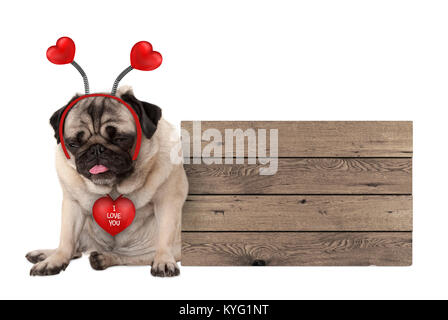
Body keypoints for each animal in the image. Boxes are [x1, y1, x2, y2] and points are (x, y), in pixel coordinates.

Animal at [26, 86, 187, 276]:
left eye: (120, 139)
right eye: (73, 143)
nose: (96, 149)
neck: (113, 187)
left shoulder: (167, 202)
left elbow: (164, 238)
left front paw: (163, 260)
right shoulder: (72, 205)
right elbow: (66, 239)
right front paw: (55, 260)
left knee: (132, 257)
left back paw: (104, 258)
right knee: (75, 248)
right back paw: (45, 254)